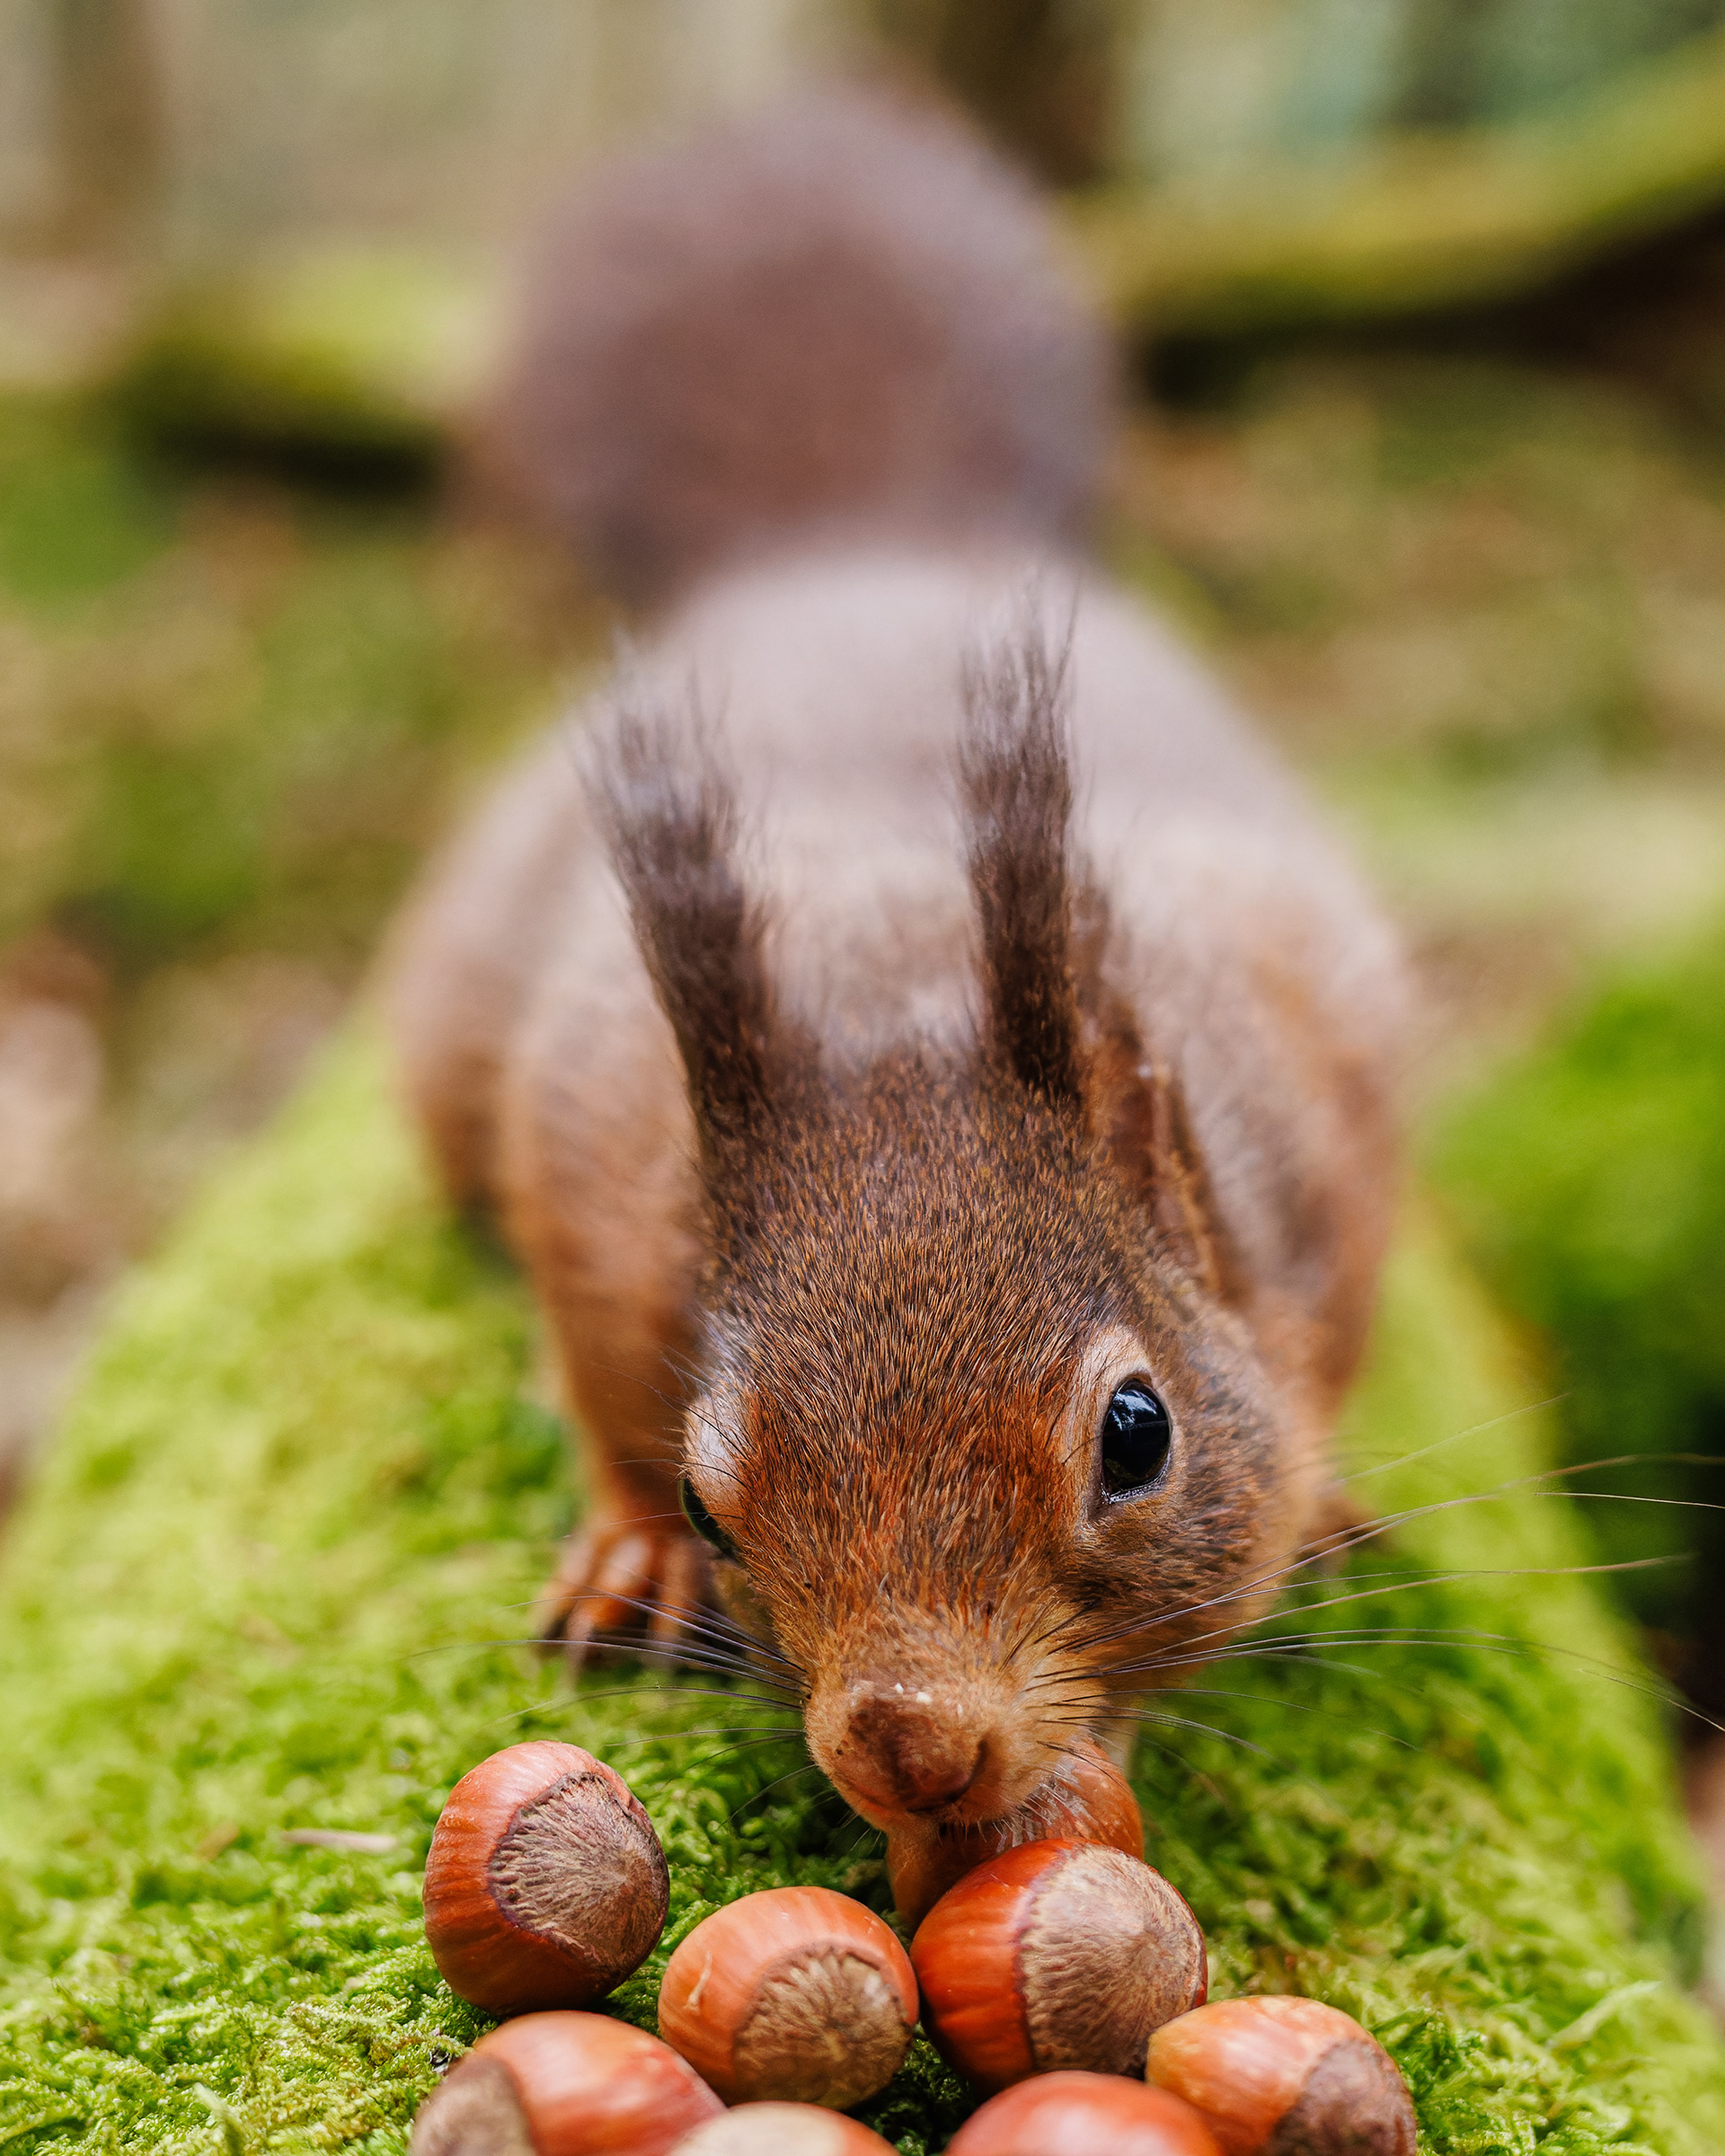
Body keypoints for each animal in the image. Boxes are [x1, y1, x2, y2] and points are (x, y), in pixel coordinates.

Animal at [388, 81, 1409, 1856]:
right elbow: (590, 1362)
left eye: (1139, 1433)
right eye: (710, 1489)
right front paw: (628, 1547)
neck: (906, 994)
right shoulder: (585, 1147)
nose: (908, 1743)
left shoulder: (1323, 1125)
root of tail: (857, 544)